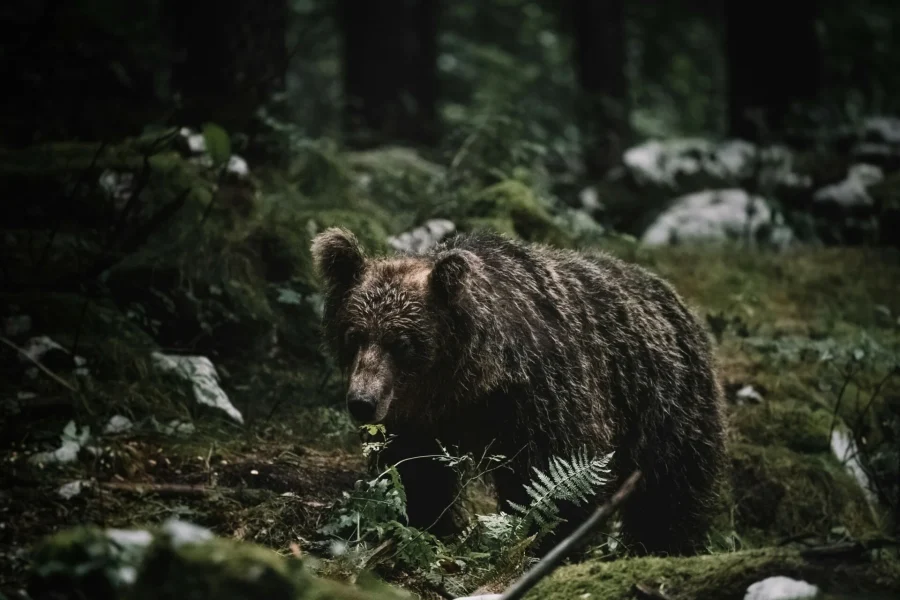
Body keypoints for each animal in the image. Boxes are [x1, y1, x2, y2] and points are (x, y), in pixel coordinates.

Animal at [312, 227, 728, 556]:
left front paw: (544, 542)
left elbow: (556, 475)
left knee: (671, 489)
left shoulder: (543, 397)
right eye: (354, 335)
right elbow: (415, 473)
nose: (362, 403)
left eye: (402, 343)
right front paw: (426, 525)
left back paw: (664, 545)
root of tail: (675, 299)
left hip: (666, 404)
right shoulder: (418, 418)